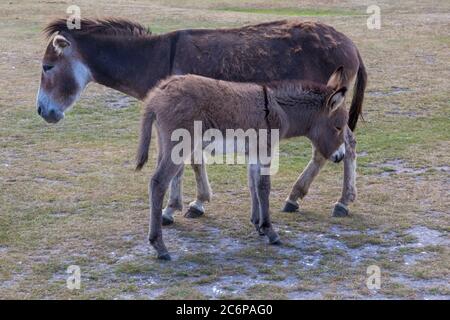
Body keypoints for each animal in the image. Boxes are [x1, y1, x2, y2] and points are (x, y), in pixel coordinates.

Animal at [135, 67, 354, 260]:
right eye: (338, 127)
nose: (340, 156)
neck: (279, 109)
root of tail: (157, 94)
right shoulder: (266, 151)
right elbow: (264, 187)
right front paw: (270, 231)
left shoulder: (254, 153)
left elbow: (253, 185)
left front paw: (258, 224)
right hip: (179, 145)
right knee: (158, 183)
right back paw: (160, 246)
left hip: (164, 144)